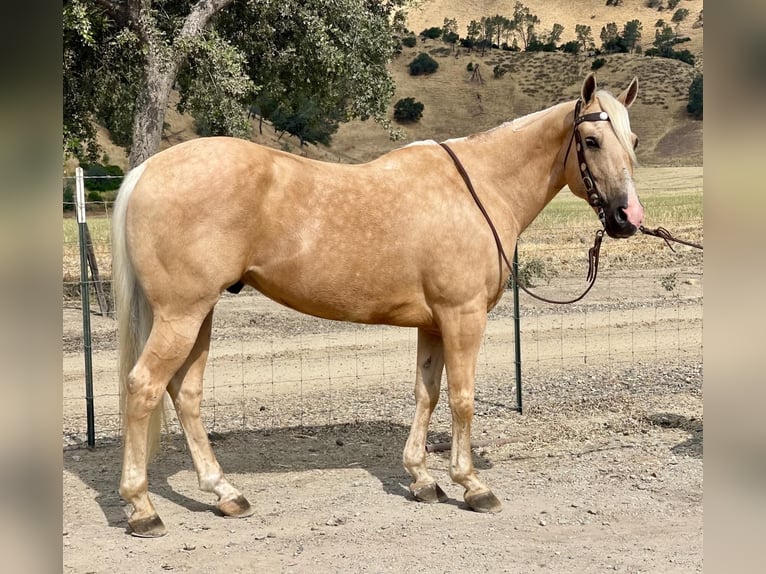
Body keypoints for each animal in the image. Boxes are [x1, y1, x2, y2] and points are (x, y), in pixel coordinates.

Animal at [112, 73, 643, 537]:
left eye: (633, 140)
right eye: (592, 141)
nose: (627, 217)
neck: (478, 188)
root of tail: (146, 171)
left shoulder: (434, 323)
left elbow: (427, 394)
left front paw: (422, 479)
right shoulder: (463, 316)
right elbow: (462, 399)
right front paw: (471, 485)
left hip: (199, 314)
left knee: (185, 393)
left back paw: (224, 493)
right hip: (181, 314)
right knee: (143, 387)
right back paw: (142, 508)